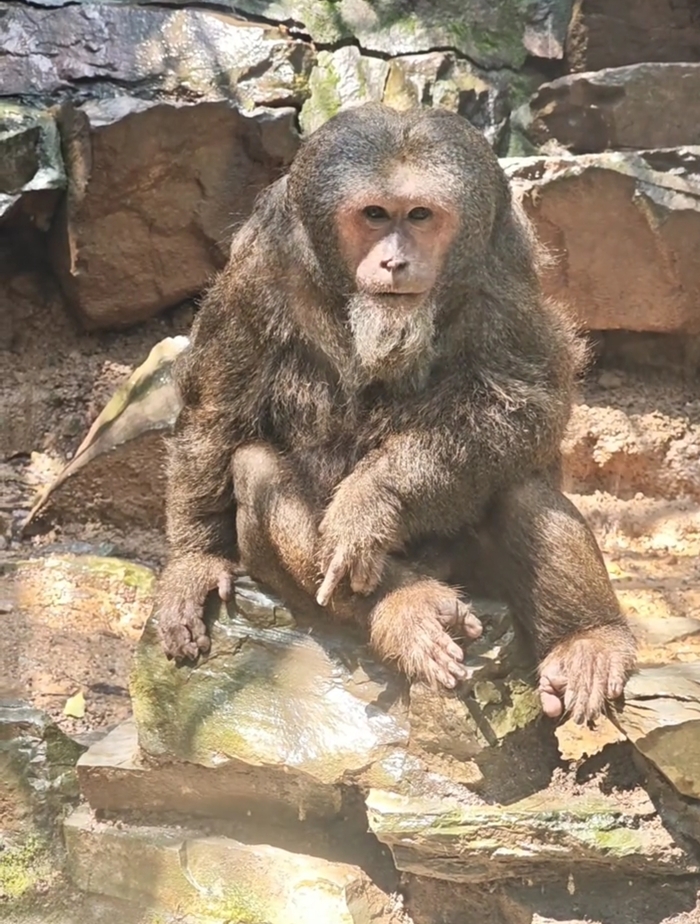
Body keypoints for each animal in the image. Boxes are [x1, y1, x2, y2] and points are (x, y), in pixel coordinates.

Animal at [155, 103, 636, 725]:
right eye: (375, 215)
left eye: (421, 215)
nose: (395, 260)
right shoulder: (255, 278)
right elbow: (217, 410)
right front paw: (194, 557)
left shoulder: (502, 283)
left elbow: (522, 404)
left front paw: (372, 499)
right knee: (256, 469)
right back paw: (405, 605)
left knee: (519, 485)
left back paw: (588, 639)